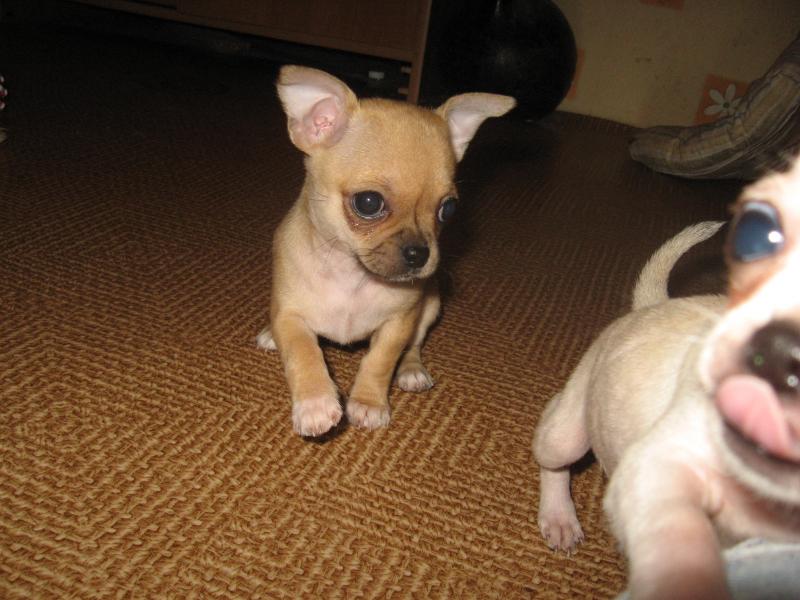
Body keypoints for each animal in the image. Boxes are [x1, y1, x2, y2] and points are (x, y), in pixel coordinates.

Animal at [258, 66, 514, 437]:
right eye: (369, 203)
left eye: (448, 209)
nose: (420, 254)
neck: (351, 275)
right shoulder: (291, 316)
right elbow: (303, 353)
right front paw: (315, 402)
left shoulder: (399, 322)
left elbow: (381, 361)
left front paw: (368, 402)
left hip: (431, 307)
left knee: (415, 346)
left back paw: (412, 370)